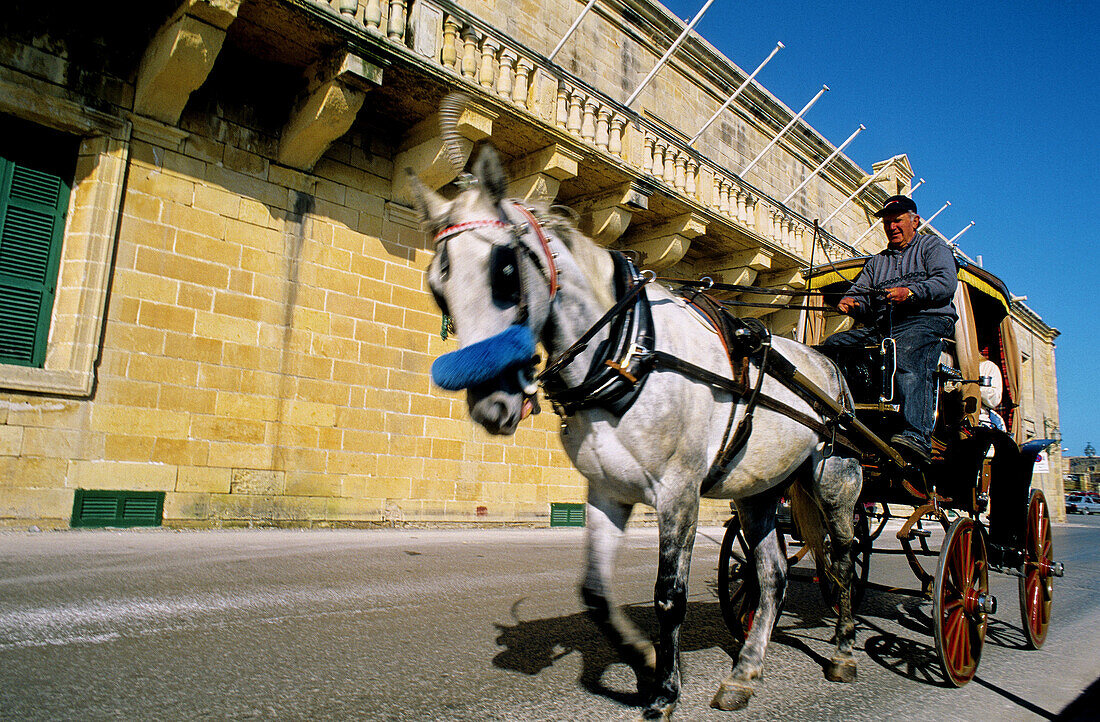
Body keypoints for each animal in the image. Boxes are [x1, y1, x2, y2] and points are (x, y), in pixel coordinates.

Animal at [411, 144, 858, 717]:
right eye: (436, 288)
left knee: (842, 561)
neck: (629, 351)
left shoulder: (679, 494)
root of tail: (825, 362)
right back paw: (744, 672)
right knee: (773, 575)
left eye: (506, 271)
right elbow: (595, 594)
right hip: (759, 489)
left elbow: (670, 596)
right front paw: (645, 659)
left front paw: (665, 689)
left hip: (835, 481)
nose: (492, 403)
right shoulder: (607, 491)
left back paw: (843, 650)